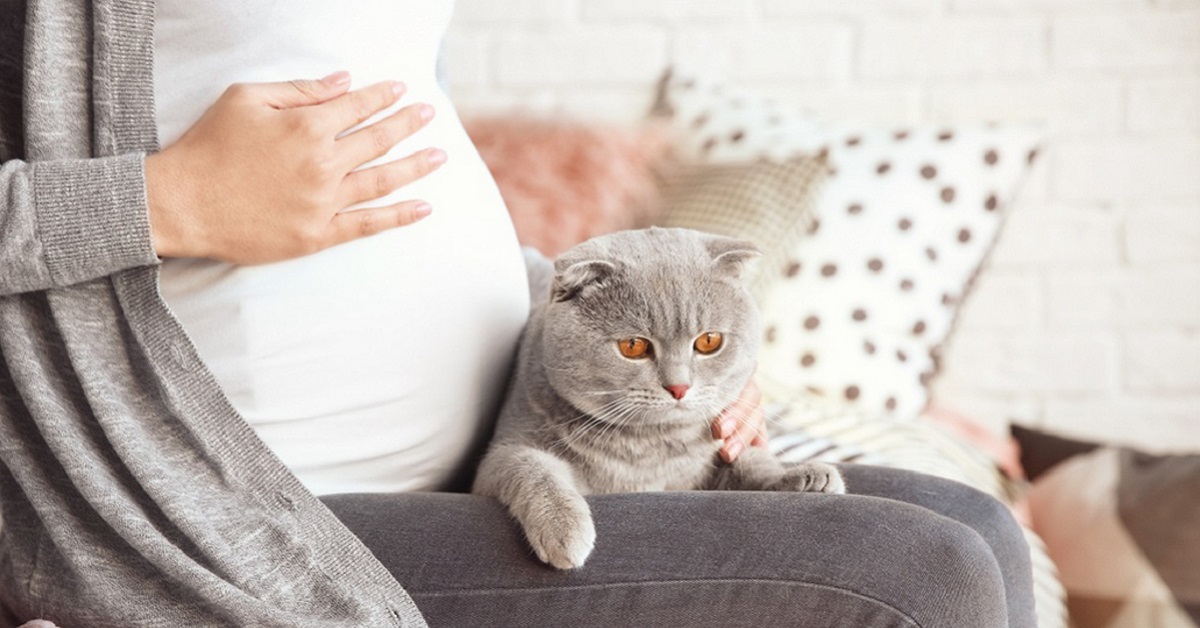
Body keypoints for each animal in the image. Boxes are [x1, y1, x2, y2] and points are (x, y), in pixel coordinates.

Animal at [470, 226, 844, 569]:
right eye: (633, 346)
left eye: (709, 341)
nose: (679, 387)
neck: (649, 451)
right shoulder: (498, 459)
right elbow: (531, 466)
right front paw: (565, 530)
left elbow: (751, 463)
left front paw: (804, 477)